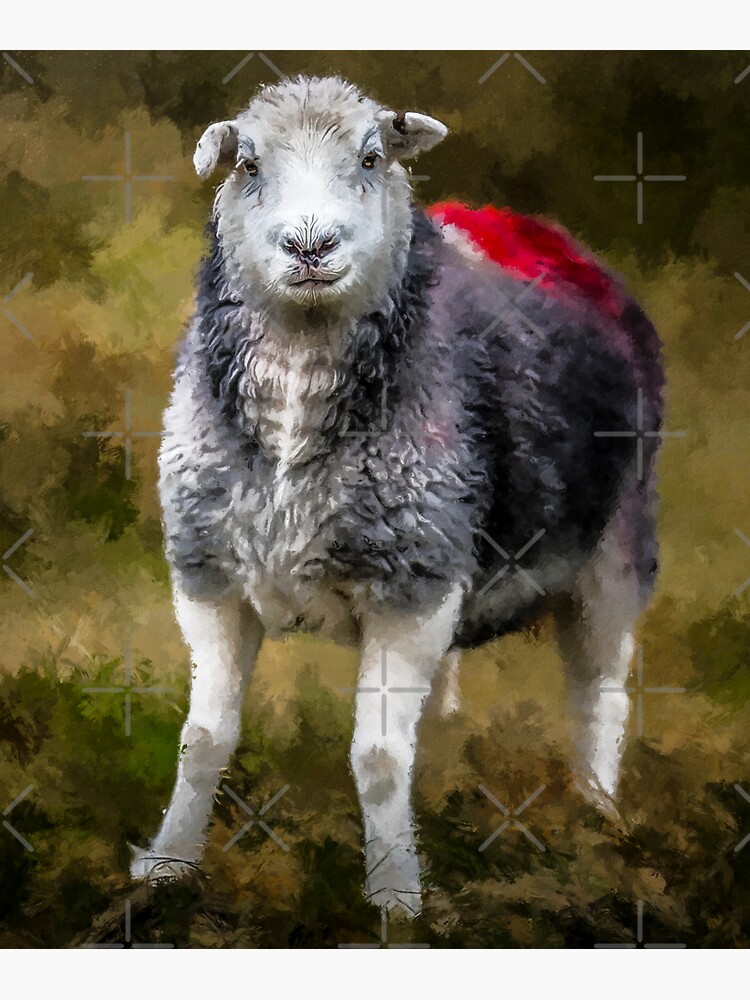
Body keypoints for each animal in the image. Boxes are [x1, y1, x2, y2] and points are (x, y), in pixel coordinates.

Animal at [130, 75, 664, 915]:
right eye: (248, 164)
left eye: (371, 157)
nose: (311, 246)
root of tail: (529, 226)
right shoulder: (210, 577)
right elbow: (204, 740)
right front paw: (168, 865)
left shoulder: (412, 588)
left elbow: (378, 756)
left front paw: (394, 900)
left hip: (614, 546)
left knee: (600, 693)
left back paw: (597, 820)